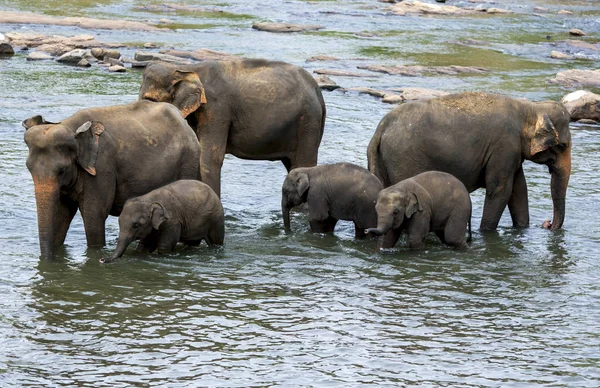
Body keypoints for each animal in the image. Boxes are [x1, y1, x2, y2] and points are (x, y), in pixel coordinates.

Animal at [23, 101, 202, 260]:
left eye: (62, 170)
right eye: (28, 168)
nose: (49, 260)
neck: (72, 128)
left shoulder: (101, 168)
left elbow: (94, 215)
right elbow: (62, 214)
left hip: (188, 163)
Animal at [138, 59, 326, 199]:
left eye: (150, 100)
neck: (186, 69)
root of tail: (318, 91)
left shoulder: (217, 109)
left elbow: (209, 158)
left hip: (308, 122)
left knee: (304, 164)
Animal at [366, 92, 572, 232]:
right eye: (561, 146)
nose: (547, 224)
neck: (529, 108)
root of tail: (380, 129)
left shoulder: (512, 153)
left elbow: (519, 190)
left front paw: (522, 229)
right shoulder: (504, 146)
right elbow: (500, 191)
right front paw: (486, 232)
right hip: (404, 158)